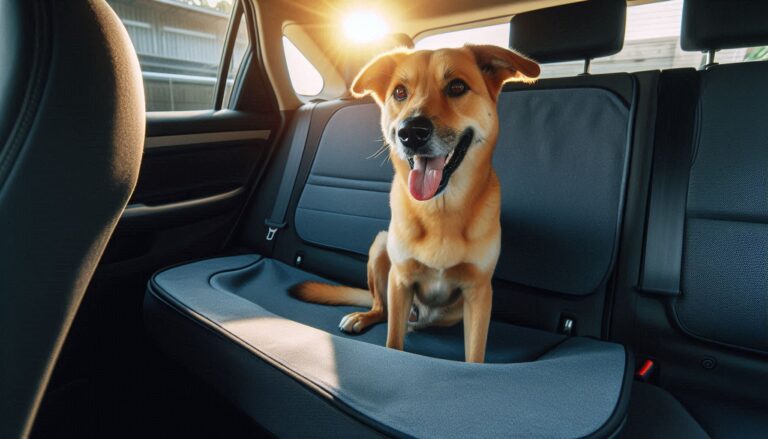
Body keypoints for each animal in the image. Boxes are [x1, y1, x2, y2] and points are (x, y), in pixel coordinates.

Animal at [290, 44, 540, 362]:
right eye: (399, 92)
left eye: (457, 86)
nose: (411, 132)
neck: (440, 209)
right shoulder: (400, 282)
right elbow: (393, 342)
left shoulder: (479, 293)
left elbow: (474, 355)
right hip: (380, 247)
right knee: (381, 307)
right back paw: (362, 316)